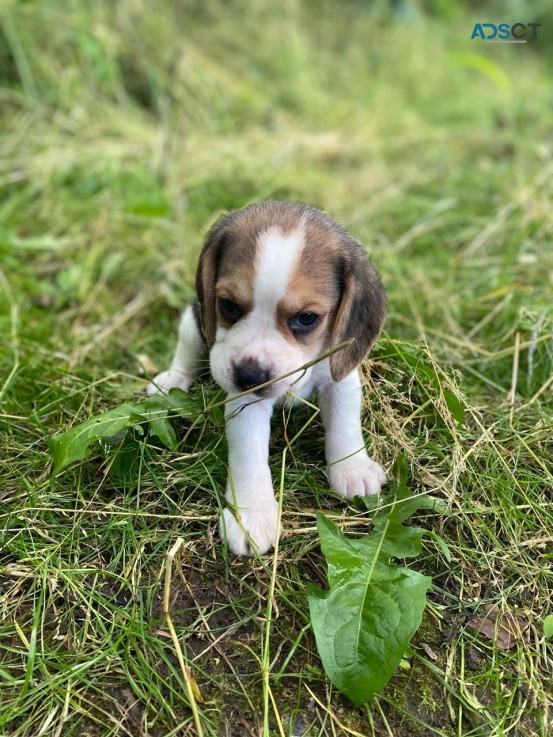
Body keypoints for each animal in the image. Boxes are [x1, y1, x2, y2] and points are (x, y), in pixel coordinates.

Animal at [148, 198, 388, 556]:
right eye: (228, 305)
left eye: (307, 318)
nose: (249, 375)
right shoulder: (246, 401)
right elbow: (249, 456)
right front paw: (251, 516)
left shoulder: (341, 376)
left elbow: (345, 425)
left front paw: (352, 468)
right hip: (193, 321)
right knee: (186, 352)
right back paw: (172, 380)